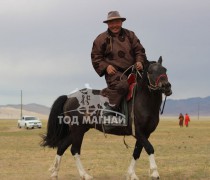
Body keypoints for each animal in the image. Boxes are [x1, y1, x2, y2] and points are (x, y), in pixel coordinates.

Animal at [41, 56, 172, 179]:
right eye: (150, 71)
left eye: (165, 69)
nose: (166, 86)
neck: (143, 102)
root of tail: (69, 97)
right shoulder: (138, 132)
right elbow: (149, 148)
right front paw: (154, 173)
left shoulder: (146, 133)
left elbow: (137, 152)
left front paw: (131, 174)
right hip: (77, 129)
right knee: (75, 150)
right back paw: (85, 175)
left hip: (79, 130)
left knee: (62, 147)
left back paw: (55, 173)